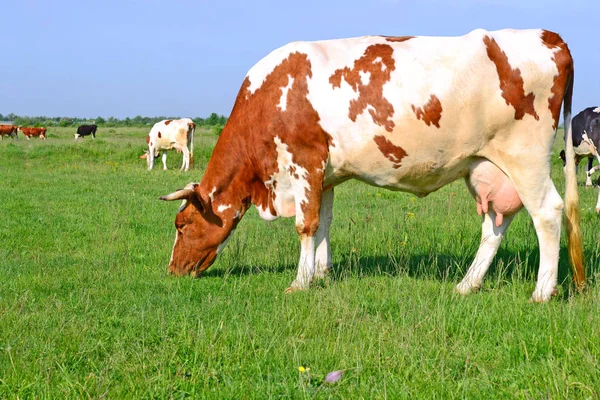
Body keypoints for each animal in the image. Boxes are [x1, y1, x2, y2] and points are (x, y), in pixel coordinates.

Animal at [158, 28, 580, 304]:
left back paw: (542, 292)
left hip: (525, 156)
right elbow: (324, 223)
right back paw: (467, 284)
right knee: (496, 223)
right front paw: (321, 272)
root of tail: (548, 35)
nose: (172, 271)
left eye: (182, 225)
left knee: (547, 212)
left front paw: (300, 282)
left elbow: (305, 225)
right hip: (489, 167)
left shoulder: (304, 161)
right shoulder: (325, 175)